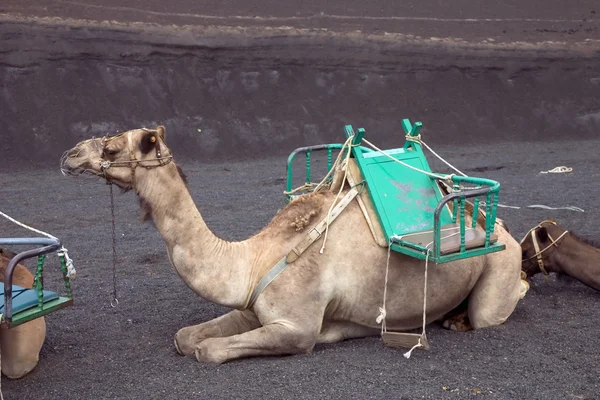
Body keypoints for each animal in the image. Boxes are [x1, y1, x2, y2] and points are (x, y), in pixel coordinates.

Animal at [61, 126, 528, 364]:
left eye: (112, 146)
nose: (68, 154)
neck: (253, 257)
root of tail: (499, 229)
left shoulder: (297, 328)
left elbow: (208, 350)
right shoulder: (252, 307)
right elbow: (186, 337)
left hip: (500, 268)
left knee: (496, 306)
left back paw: (466, 317)